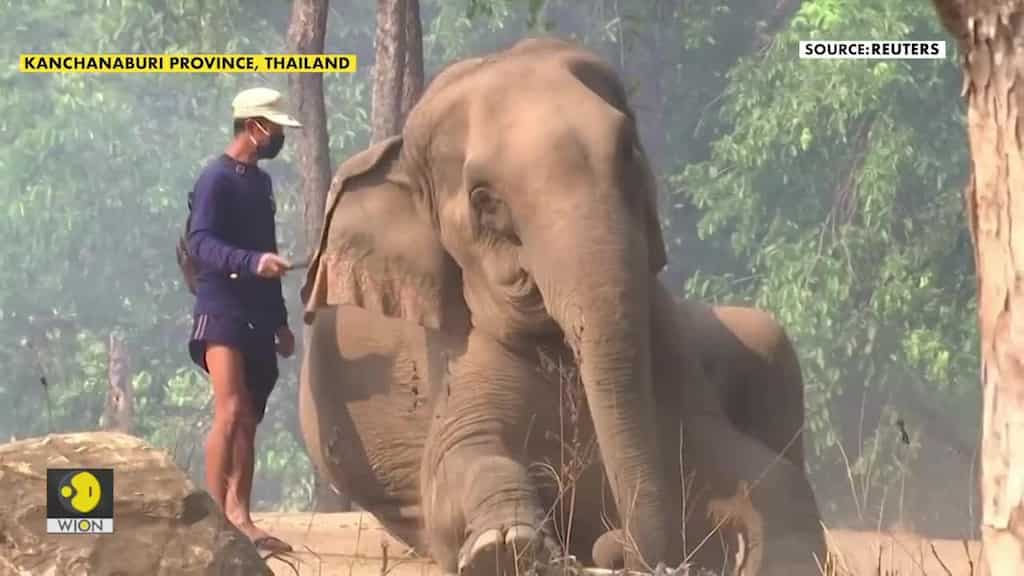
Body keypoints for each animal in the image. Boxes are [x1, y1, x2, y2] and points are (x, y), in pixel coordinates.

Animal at [298, 37, 828, 576]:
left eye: (630, 152)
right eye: (484, 201)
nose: (615, 546)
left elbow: (752, 466)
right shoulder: (454, 354)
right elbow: (457, 460)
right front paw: (504, 546)